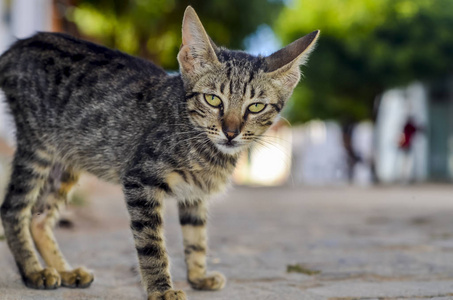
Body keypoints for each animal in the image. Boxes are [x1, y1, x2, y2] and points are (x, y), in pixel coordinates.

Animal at [0, 5, 318, 300]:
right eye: (213, 99)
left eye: (255, 107)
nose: (230, 132)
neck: (202, 145)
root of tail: (18, 47)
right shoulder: (140, 181)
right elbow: (151, 244)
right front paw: (161, 289)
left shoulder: (195, 194)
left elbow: (196, 237)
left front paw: (198, 277)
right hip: (38, 146)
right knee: (14, 209)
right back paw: (34, 271)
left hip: (68, 159)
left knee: (39, 216)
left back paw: (64, 271)